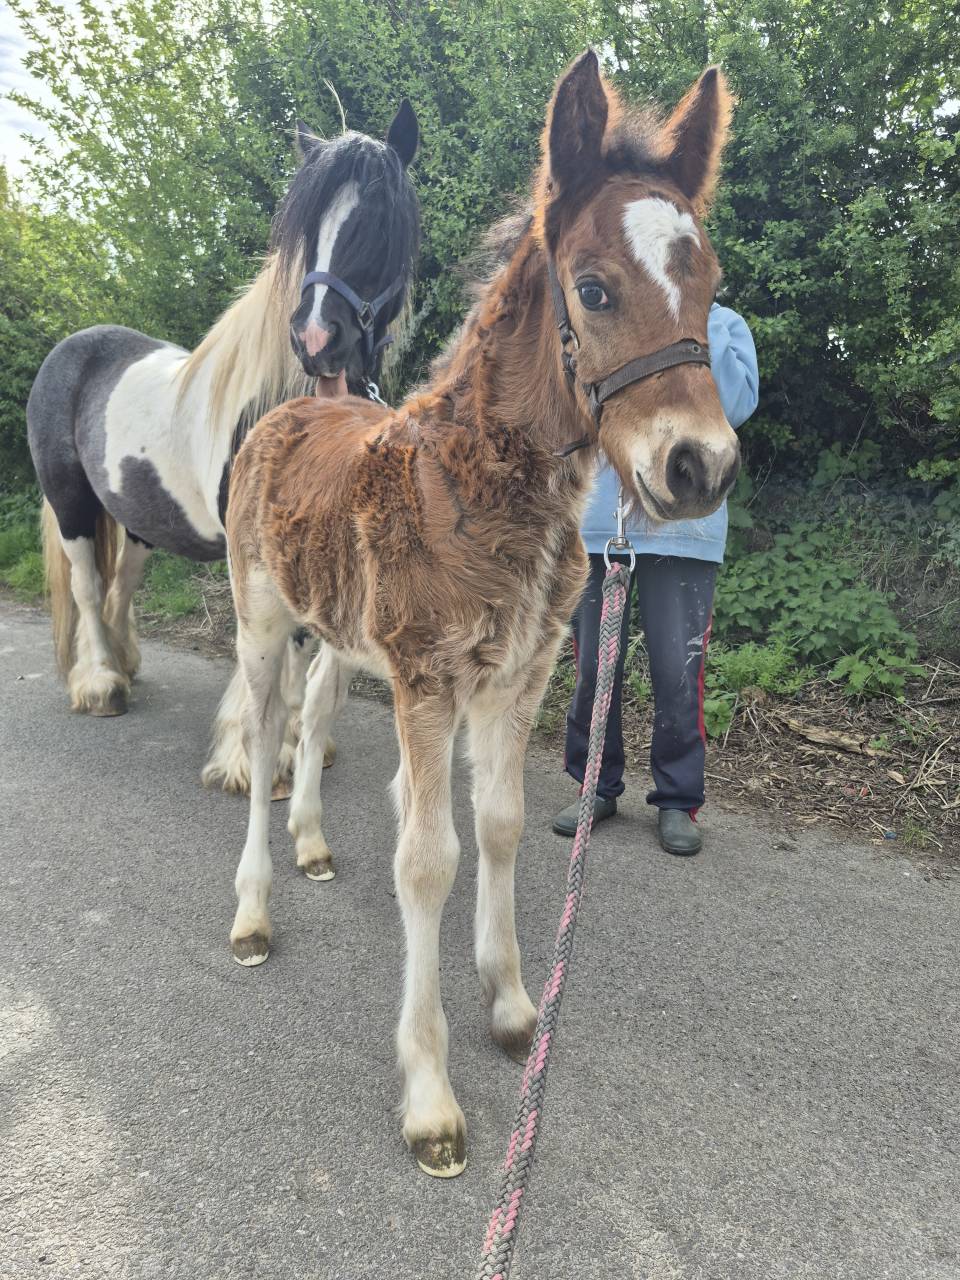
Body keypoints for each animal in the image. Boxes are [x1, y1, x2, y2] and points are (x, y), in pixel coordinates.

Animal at [27, 102, 420, 796]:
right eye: (306, 226)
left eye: (381, 216)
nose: (315, 339)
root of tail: (71, 347)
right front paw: (250, 755)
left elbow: (300, 651)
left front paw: (296, 745)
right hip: (71, 504)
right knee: (86, 587)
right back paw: (101, 683)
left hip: (139, 519)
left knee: (119, 586)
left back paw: (127, 664)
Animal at [223, 52, 739, 1178]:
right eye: (593, 289)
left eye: (711, 285)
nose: (701, 466)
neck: (475, 489)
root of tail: (299, 402)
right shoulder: (427, 679)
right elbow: (429, 858)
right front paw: (430, 1097)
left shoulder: (521, 676)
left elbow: (497, 825)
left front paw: (511, 1007)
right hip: (264, 620)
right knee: (268, 731)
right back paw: (252, 908)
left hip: (340, 637)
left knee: (312, 722)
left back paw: (313, 842)